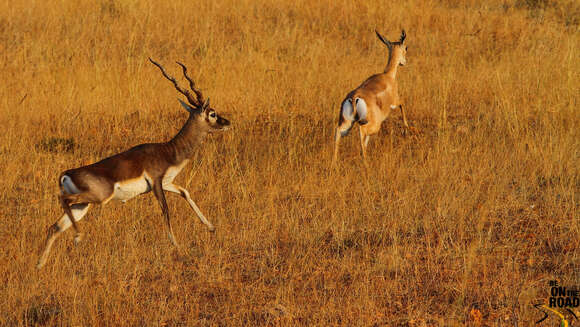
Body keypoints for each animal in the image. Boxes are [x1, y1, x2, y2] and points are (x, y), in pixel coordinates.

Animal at [35, 58, 231, 270]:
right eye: (212, 113)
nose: (227, 122)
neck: (168, 151)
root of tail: (66, 174)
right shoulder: (156, 183)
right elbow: (166, 211)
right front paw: (178, 246)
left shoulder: (167, 183)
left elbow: (185, 192)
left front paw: (211, 227)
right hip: (98, 197)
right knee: (62, 200)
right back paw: (78, 237)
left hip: (83, 205)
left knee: (54, 227)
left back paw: (39, 264)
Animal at [334, 29, 410, 164]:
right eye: (406, 47)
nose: (404, 63)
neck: (388, 75)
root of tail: (354, 97)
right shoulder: (395, 102)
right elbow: (403, 104)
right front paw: (406, 129)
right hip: (372, 124)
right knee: (361, 132)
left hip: (347, 123)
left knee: (338, 131)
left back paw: (335, 162)